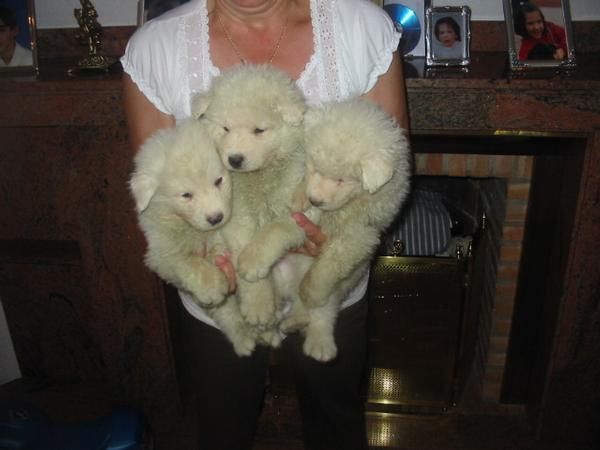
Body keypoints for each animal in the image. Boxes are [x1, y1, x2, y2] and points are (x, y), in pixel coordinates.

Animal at [127, 118, 256, 356]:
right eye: (186, 195)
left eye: (219, 181)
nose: (216, 217)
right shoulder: (159, 254)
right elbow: (188, 262)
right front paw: (212, 285)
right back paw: (245, 340)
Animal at [193, 65, 308, 328]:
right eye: (225, 128)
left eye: (259, 130)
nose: (234, 159)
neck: (260, 177)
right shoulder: (236, 216)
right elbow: (243, 246)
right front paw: (258, 305)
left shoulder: (302, 207)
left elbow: (275, 229)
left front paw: (252, 263)